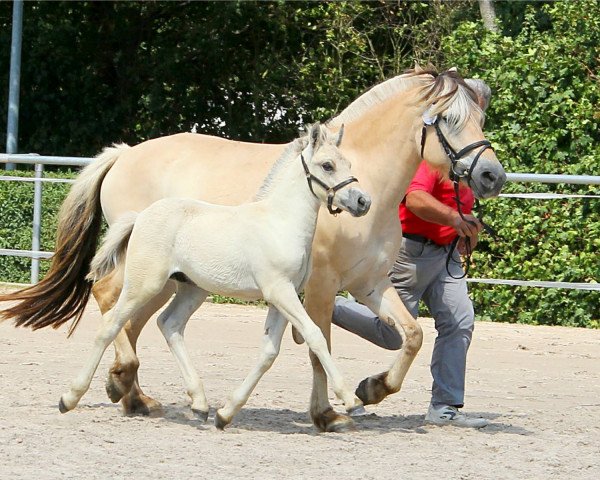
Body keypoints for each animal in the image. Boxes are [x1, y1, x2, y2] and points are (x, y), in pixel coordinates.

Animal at [58, 123, 372, 428]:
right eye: (327, 165)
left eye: (348, 162)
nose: (362, 201)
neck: (279, 223)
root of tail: (140, 217)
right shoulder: (279, 290)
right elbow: (315, 335)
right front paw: (351, 400)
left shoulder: (284, 295)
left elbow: (269, 352)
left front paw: (226, 413)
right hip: (144, 284)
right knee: (111, 324)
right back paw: (70, 398)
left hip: (191, 289)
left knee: (169, 324)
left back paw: (199, 405)